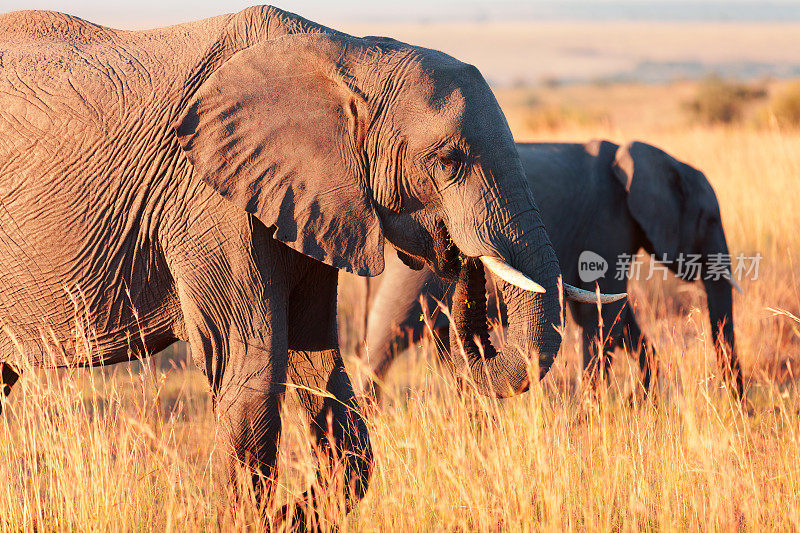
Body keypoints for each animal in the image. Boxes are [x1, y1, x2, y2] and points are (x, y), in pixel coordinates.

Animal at [0, 4, 616, 520]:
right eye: (449, 162)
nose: (461, 261)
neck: (350, 55)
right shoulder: (208, 200)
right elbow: (251, 364)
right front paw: (267, 517)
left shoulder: (313, 201)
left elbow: (318, 360)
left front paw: (296, 516)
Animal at [362, 140, 744, 400]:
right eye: (710, 219)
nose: (742, 408)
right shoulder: (607, 225)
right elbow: (603, 317)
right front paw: (592, 420)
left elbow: (615, 316)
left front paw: (639, 404)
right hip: (412, 270)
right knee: (387, 338)